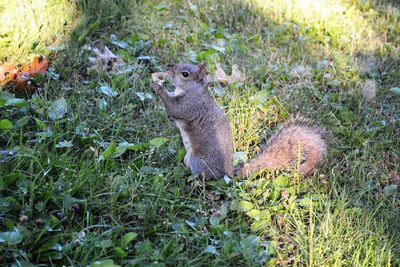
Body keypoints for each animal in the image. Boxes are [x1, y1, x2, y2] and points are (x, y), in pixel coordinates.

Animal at [152, 61, 326, 181]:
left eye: (185, 74)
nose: (169, 66)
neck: (193, 90)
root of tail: (227, 172)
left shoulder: (190, 106)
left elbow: (175, 109)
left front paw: (158, 88)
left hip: (198, 161)